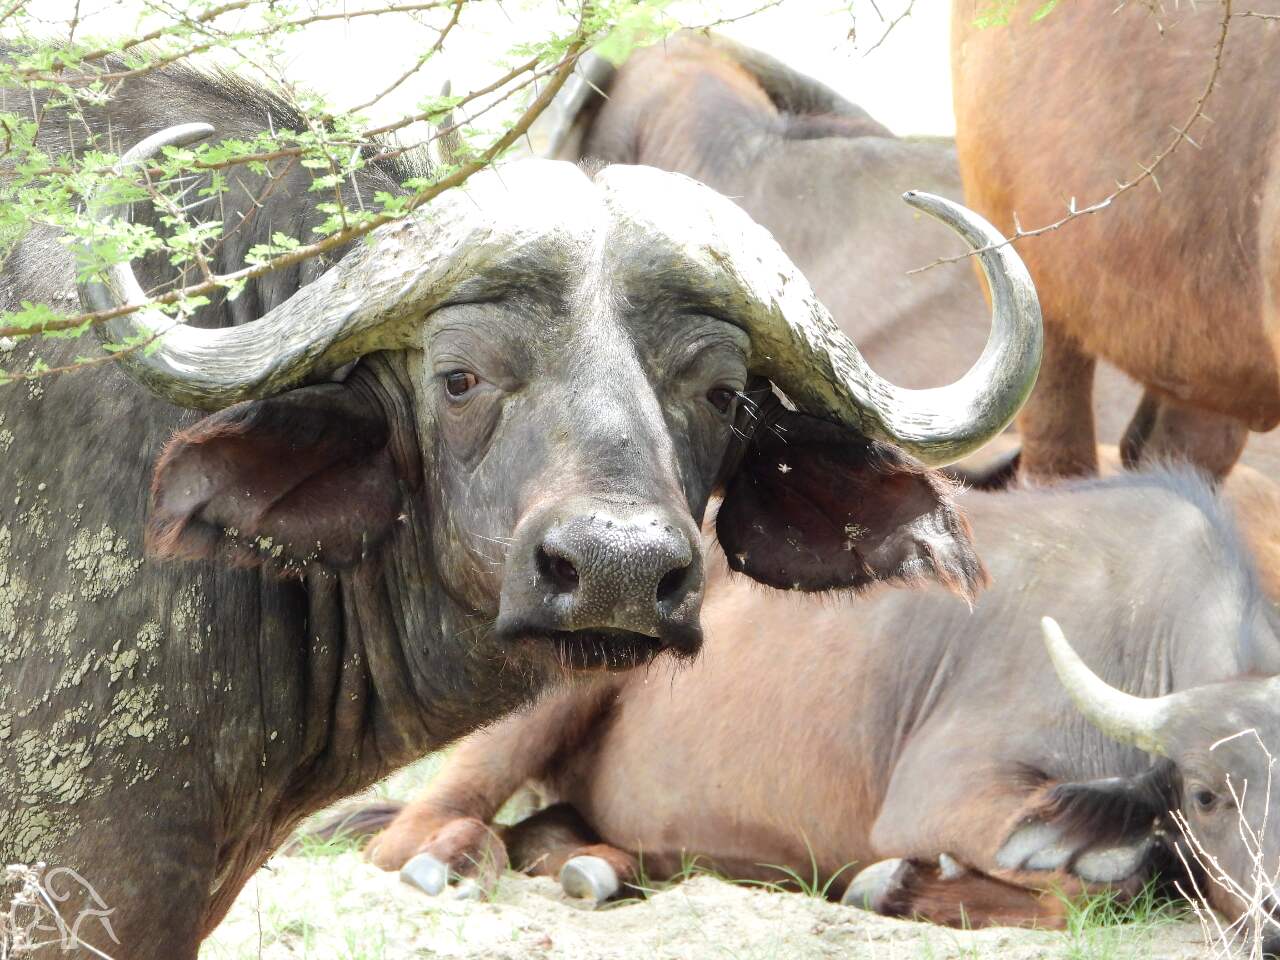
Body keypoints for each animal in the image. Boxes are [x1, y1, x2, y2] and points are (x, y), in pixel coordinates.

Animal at [330, 458, 1280, 957]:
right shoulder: (944, 798)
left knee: (554, 833)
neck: (1142, 625)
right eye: (1206, 795)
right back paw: (451, 860)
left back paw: (598, 866)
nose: (1273, 921)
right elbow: (1099, 885)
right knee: (411, 831)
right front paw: (890, 884)